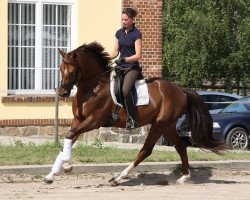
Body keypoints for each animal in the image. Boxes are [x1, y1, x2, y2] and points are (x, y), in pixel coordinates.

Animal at [43, 41, 225, 185]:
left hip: (159, 125)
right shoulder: (78, 120)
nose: (63, 93)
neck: (93, 87)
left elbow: (69, 135)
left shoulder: (94, 121)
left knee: (146, 150)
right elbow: (69, 137)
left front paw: (67, 165)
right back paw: (184, 177)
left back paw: (119, 177)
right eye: (61, 69)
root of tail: (181, 90)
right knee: (180, 146)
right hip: (167, 126)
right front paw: (51, 174)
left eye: (72, 71)